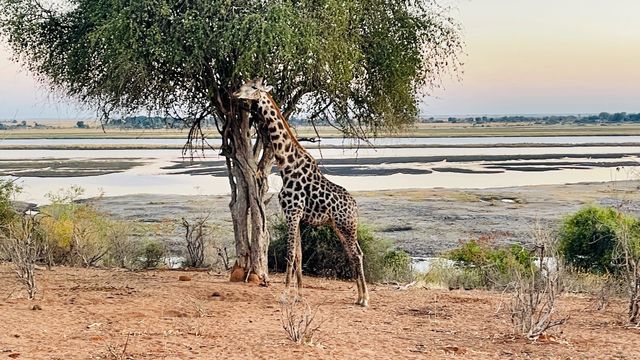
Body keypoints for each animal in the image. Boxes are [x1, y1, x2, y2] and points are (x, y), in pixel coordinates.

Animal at [232, 79, 368, 306]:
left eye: (254, 87)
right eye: (245, 83)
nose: (234, 93)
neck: (286, 164)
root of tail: (355, 206)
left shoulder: (293, 212)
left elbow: (290, 254)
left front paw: (285, 294)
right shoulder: (295, 215)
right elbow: (298, 256)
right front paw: (299, 295)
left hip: (346, 225)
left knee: (357, 254)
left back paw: (365, 298)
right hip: (340, 226)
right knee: (352, 254)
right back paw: (358, 297)